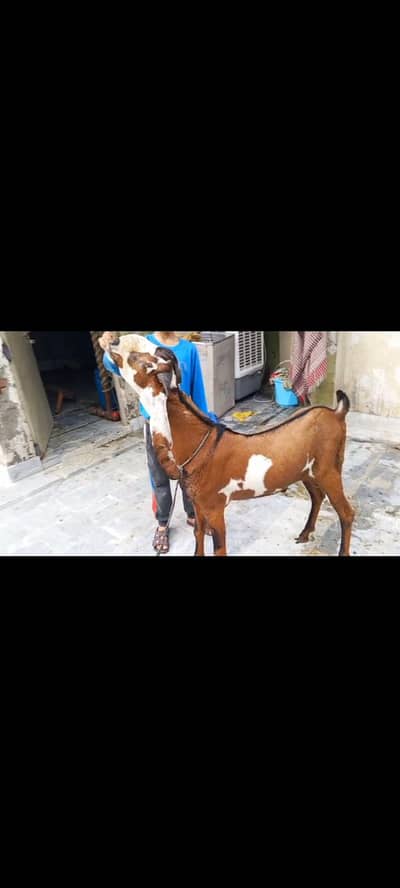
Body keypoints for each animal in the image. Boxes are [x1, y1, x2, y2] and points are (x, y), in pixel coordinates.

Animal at [106, 334, 355, 556]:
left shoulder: (215, 508)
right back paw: (305, 533)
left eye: (138, 359)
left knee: (346, 513)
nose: (113, 341)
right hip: (306, 471)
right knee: (317, 497)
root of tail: (336, 413)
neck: (200, 445)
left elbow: (219, 548)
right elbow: (197, 535)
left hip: (329, 470)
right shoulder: (199, 505)